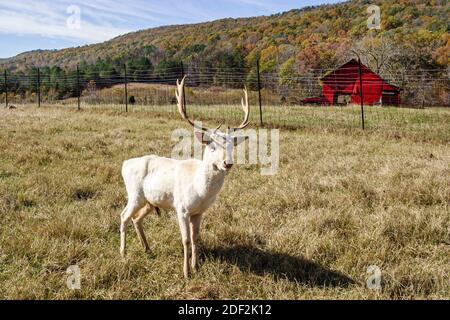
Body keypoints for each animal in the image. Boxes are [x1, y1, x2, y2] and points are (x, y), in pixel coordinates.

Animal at [119, 75, 250, 278]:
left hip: (150, 200)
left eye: (231, 146)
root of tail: (125, 163)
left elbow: (196, 238)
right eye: (212, 146)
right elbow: (186, 240)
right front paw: (186, 272)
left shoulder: (199, 212)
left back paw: (147, 248)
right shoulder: (181, 208)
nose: (227, 163)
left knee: (136, 218)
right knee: (123, 216)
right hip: (135, 194)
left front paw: (196, 267)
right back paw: (123, 253)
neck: (200, 190)